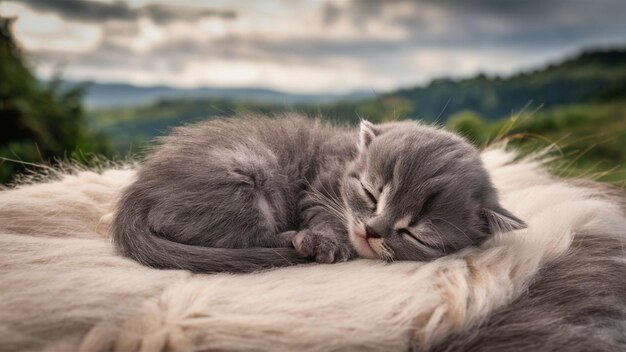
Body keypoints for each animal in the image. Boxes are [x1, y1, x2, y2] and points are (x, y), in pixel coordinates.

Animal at [109, 114, 524, 274]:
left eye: (414, 233)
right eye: (370, 193)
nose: (372, 230)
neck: (347, 157)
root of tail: (136, 195)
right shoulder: (318, 188)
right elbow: (324, 215)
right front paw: (324, 240)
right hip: (248, 171)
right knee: (240, 237)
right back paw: (295, 239)